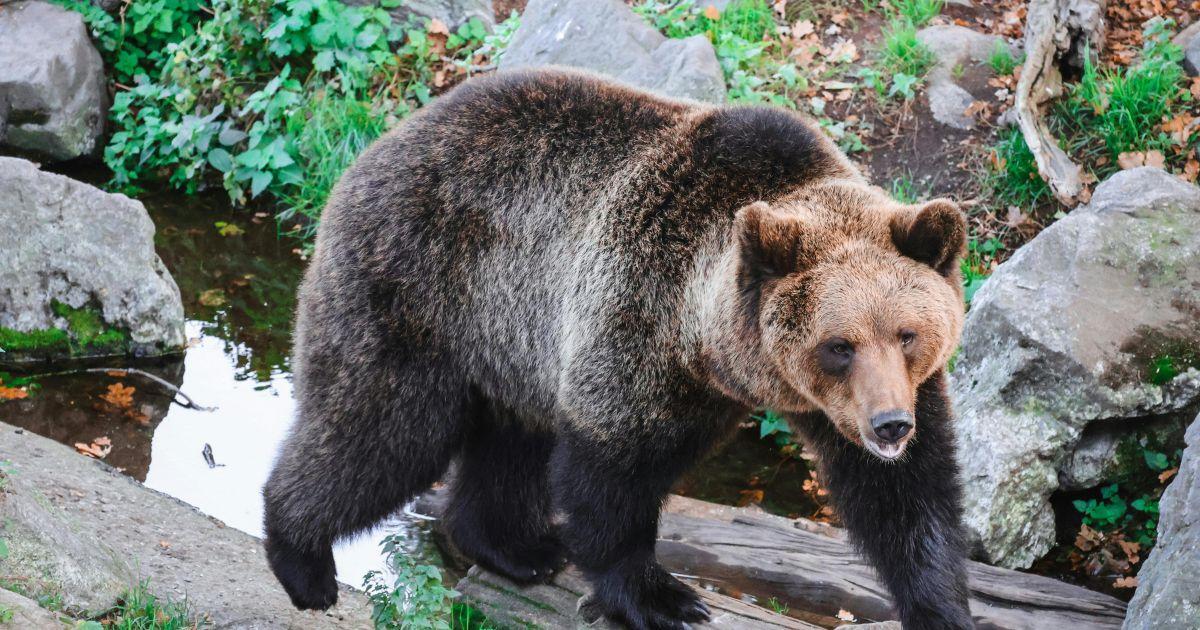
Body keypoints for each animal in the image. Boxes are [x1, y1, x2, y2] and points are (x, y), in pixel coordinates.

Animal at [262, 67, 973, 629]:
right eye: (838, 345)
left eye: (907, 334)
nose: (888, 424)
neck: (710, 350)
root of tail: (372, 148)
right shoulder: (636, 312)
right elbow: (611, 474)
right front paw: (663, 598)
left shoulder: (863, 400)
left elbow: (907, 496)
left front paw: (940, 606)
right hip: (422, 289)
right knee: (385, 428)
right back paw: (302, 560)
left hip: (511, 342)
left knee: (508, 441)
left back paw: (514, 548)